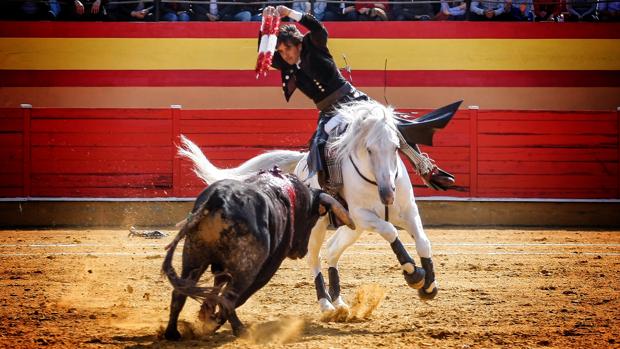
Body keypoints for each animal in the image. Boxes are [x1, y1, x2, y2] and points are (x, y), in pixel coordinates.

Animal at [161, 167, 354, 338]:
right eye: (312, 218)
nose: (301, 250)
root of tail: (218, 199)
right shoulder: (267, 267)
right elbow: (237, 296)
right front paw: (212, 320)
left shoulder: (222, 267)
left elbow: (217, 287)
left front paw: (207, 315)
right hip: (247, 267)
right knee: (230, 298)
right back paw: (238, 330)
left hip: (193, 256)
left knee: (180, 293)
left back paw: (172, 333)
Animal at [179, 100, 438, 316]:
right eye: (369, 149)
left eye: (395, 147)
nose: (387, 194)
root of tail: (303, 164)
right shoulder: (364, 217)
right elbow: (390, 231)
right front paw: (414, 275)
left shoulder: (408, 211)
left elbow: (423, 241)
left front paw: (429, 286)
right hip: (319, 227)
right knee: (315, 258)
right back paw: (326, 304)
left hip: (352, 228)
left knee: (332, 250)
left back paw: (338, 302)